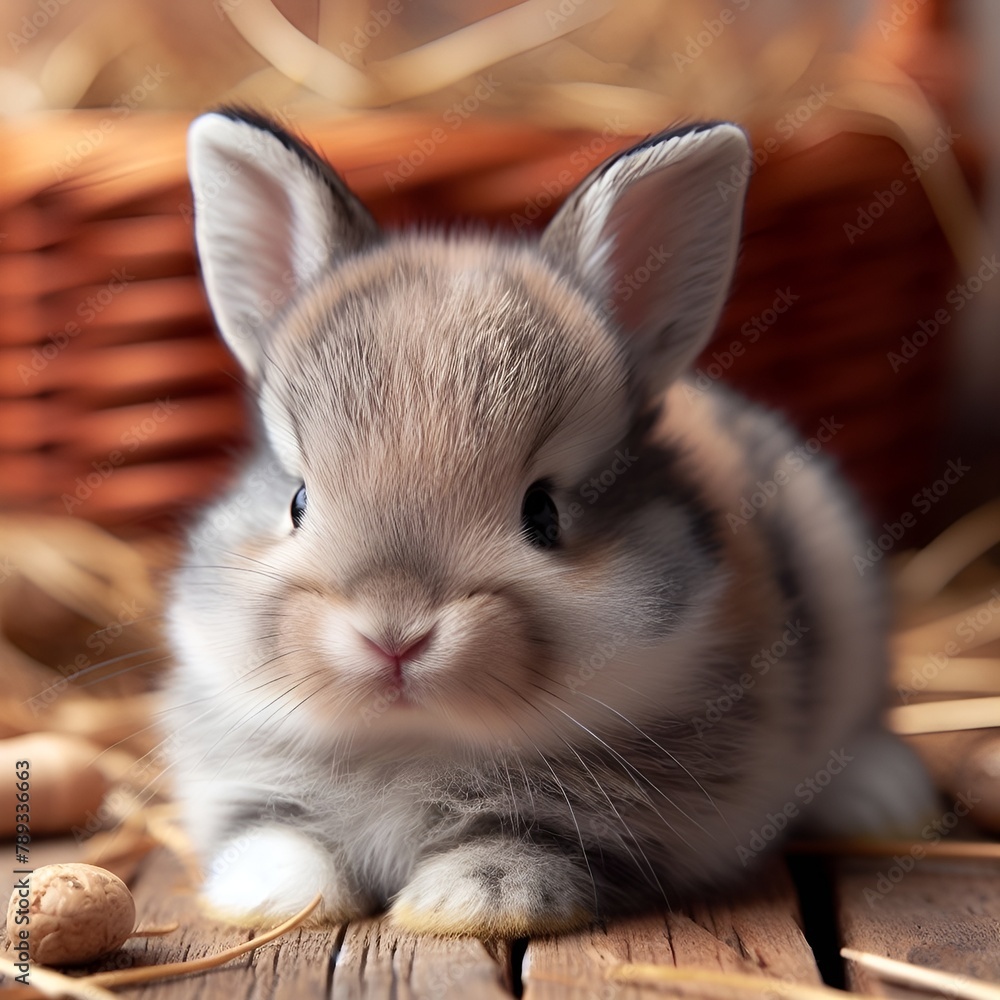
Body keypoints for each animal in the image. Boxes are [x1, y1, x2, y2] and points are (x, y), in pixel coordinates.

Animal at [162, 108, 936, 937]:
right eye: (298, 501)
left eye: (543, 511)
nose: (393, 635)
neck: (411, 739)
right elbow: (279, 836)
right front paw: (270, 899)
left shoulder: (594, 818)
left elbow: (524, 847)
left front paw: (461, 907)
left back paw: (882, 800)